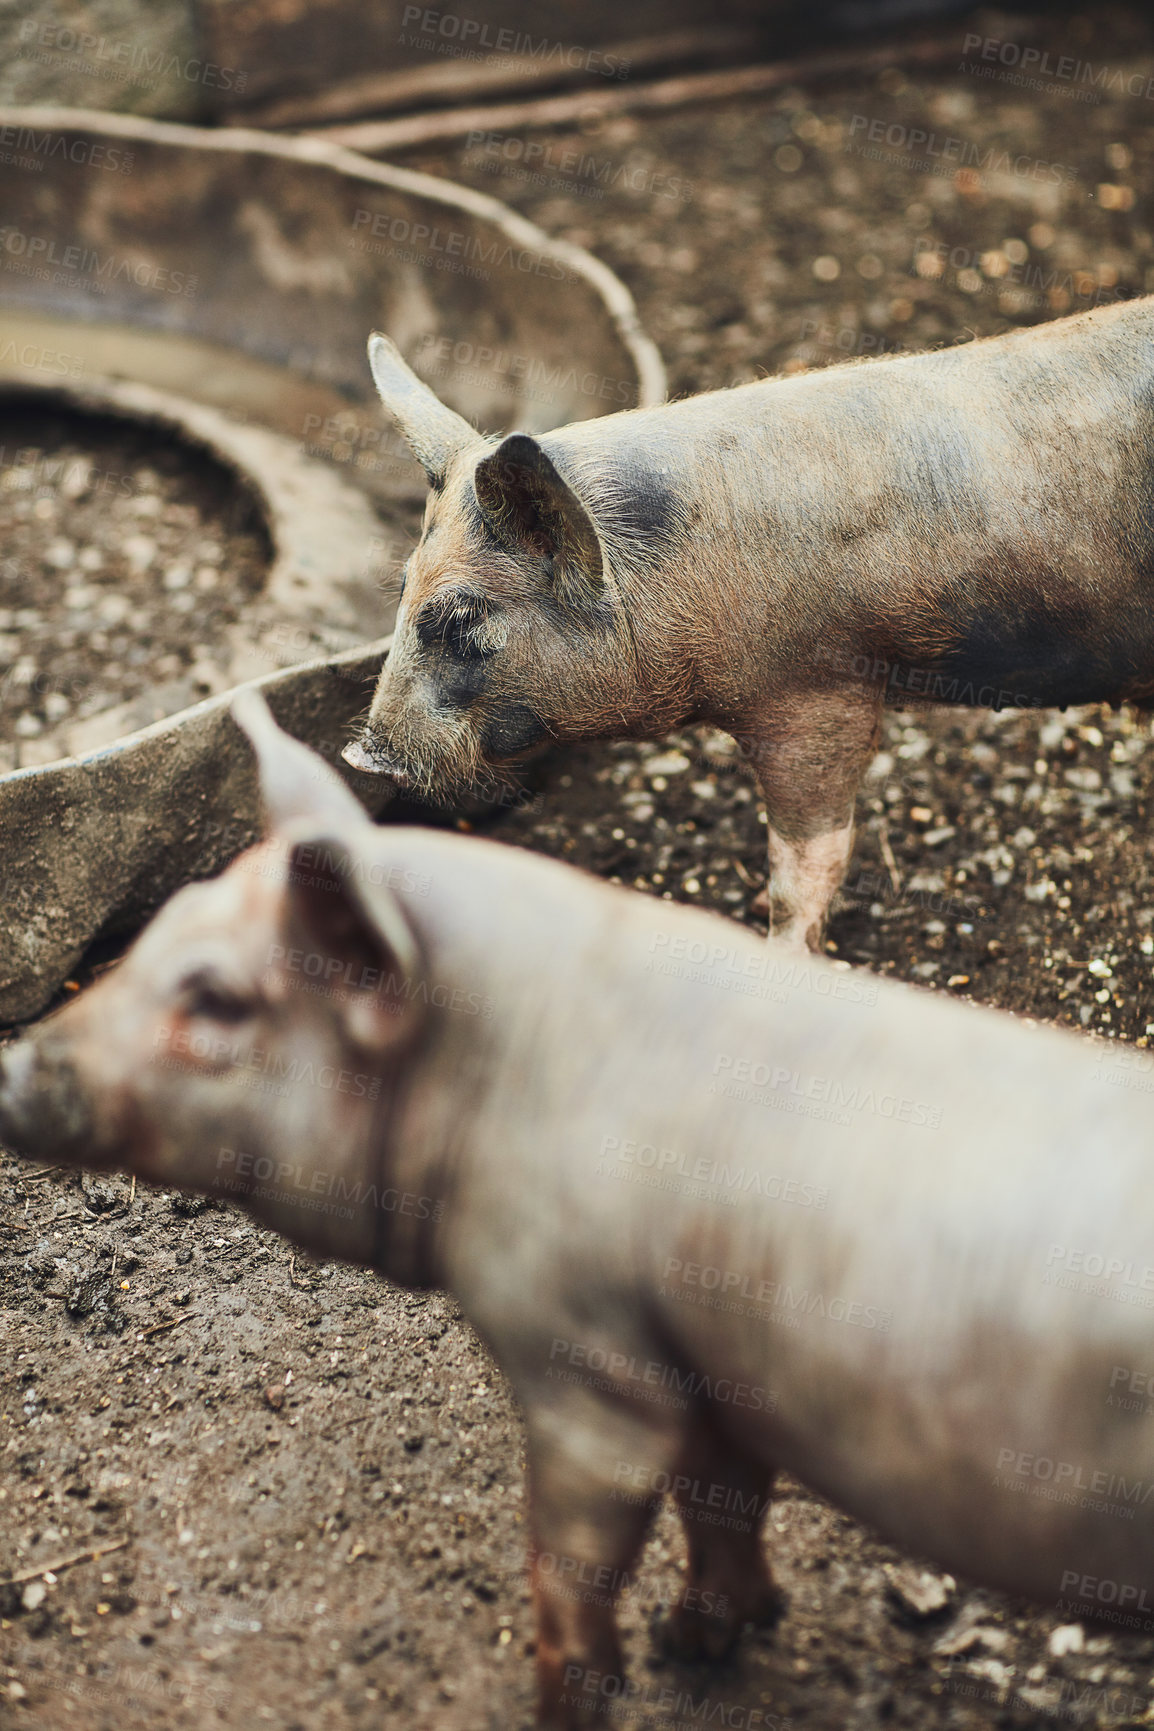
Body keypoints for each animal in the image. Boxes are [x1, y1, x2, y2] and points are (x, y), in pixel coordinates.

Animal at [6, 695, 1154, 1724]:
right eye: (157, 930)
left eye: (217, 1000)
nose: (14, 1068)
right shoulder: (704, 1354)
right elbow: (723, 1499)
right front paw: (702, 1638)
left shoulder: (590, 1355)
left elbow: (572, 1569)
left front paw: (598, 1686)